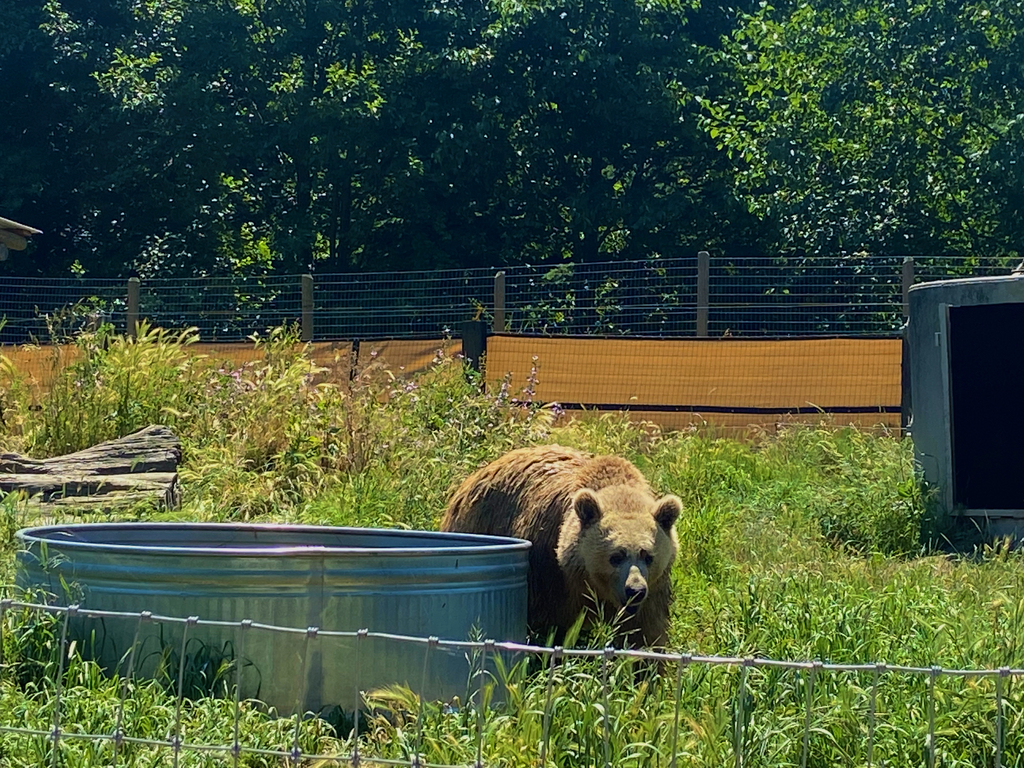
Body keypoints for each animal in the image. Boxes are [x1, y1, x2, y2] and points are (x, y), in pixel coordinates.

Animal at [440, 444, 679, 651]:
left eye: (648, 556)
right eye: (616, 556)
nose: (635, 591)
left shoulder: (653, 591)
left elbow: (645, 635)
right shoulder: (550, 576)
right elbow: (550, 628)